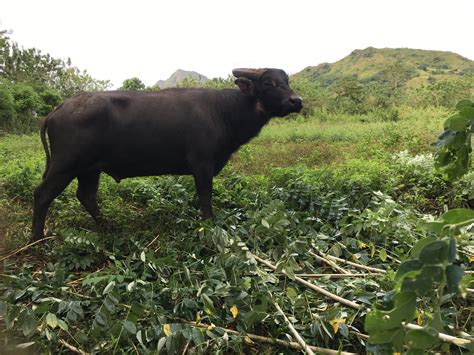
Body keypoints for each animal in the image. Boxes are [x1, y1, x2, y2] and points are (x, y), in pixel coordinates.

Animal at [31, 69, 302, 242]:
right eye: (268, 83)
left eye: (286, 81)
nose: (296, 101)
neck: (224, 110)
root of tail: (57, 110)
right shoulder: (202, 164)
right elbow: (205, 197)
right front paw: (210, 223)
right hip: (65, 165)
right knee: (42, 194)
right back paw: (36, 237)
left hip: (90, 168)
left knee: (86, 195)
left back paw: (108, 225)